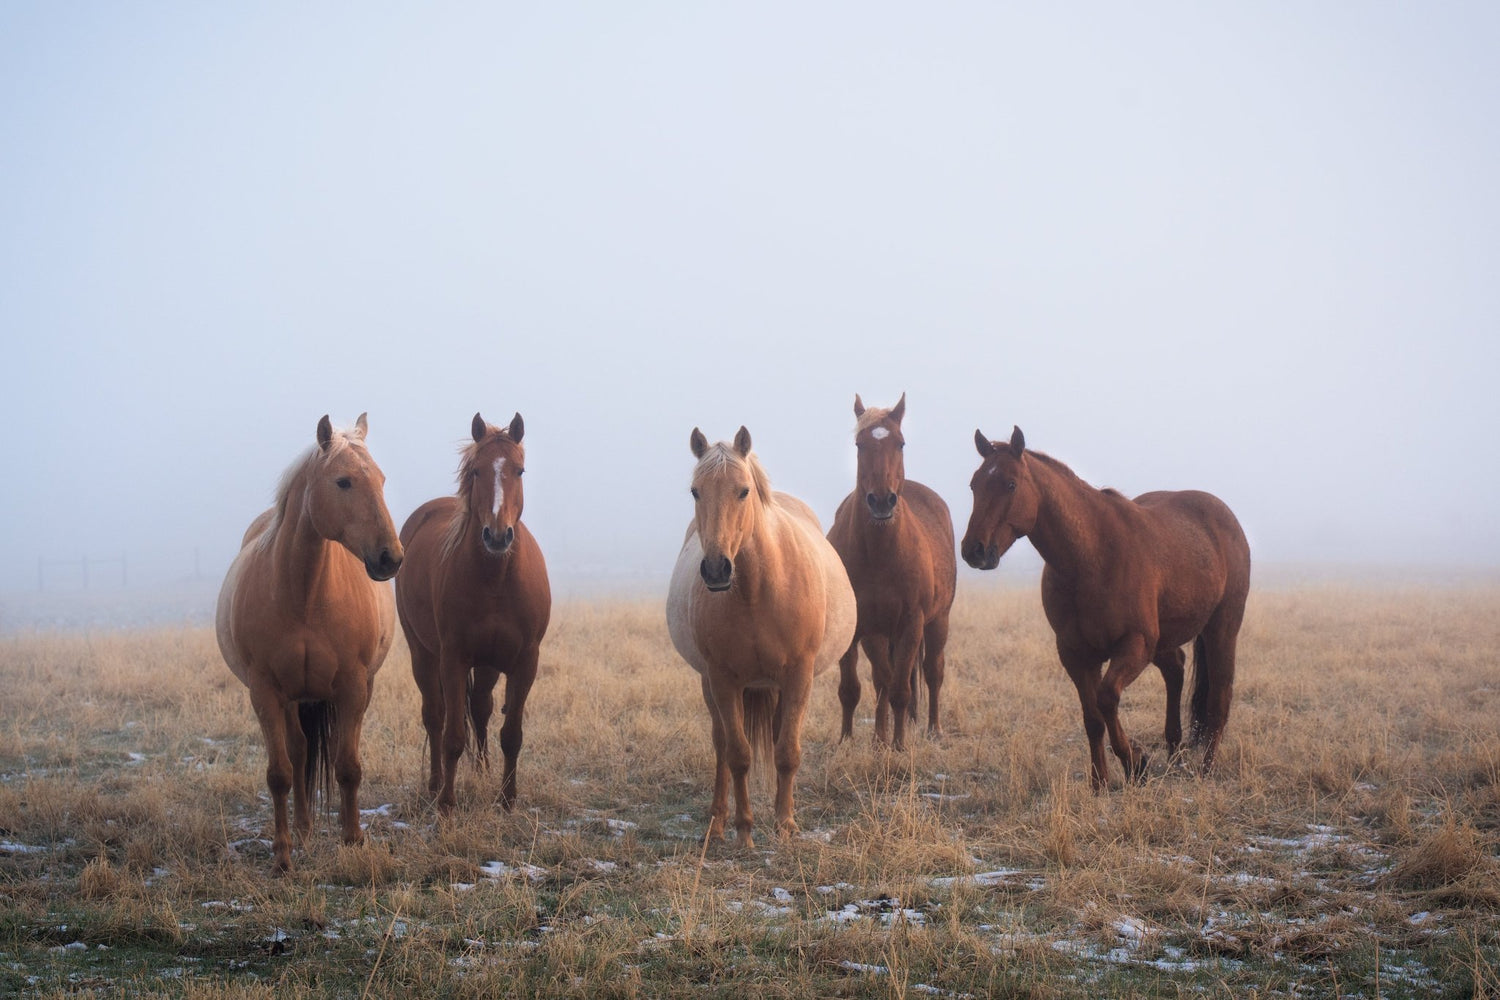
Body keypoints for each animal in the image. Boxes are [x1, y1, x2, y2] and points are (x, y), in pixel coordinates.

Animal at [216, 410, 405, 869]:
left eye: (381, 479)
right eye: (343, 481)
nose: (391, 557)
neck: (303, 596)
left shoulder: (353, 687)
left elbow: (348, 765)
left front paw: (353, 839)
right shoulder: (265, 692)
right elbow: (280, 773)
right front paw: (282, 855)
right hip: (291, 699)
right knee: (299, 752)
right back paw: (300, 829)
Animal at [393, 413, 552, 815]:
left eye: (519, 470)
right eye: (477, 471)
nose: (497, 536)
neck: (495, 578)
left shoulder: (524, 661)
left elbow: (511, 734)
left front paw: (507, 800)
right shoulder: (453, 658)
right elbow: (452, 735)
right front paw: (448, 804)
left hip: (489, 663)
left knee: (480, 707)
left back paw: (482, 771)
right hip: (424, 654)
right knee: (434, 717)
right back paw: (435, 784)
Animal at [669, 425, 858, 851]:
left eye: (743, 490)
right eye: (695, 491)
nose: (716, 569)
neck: (756, 589)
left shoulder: (798, 677)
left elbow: (787, 752)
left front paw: (785, 824)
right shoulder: (723, 680)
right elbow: (738, 754)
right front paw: (744, 831)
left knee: (775, 738)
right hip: (712, 685)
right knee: (721, 746)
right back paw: (717, 824)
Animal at [828, 395, 954, 746]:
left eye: (900, 443)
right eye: (859, 444)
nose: (882, 501)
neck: (879, 554)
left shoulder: (912, 624)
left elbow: (901, 689)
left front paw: (898, 745)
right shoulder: (860, 627)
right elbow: (855, 688)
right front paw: (849, 740)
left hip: (938, 621)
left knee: (932, 671)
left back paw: (933, 729)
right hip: (880, 633)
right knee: (882, 677)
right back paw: (882, 735)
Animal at [960, 428, 1254, 791]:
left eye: (1011, 484)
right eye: (974, 485)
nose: (974, 550)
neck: (1092, 557)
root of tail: (1225, 518)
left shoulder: (1134, 645)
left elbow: (1107, 697)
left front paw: (1134, 762)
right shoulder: (1075, 654)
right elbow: (1092, 718)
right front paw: (1100, 781)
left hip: (1221, 629)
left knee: (1219, 698)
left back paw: (1206, 769)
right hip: (1165, 641)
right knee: (1175, 670)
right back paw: (1175, 755)